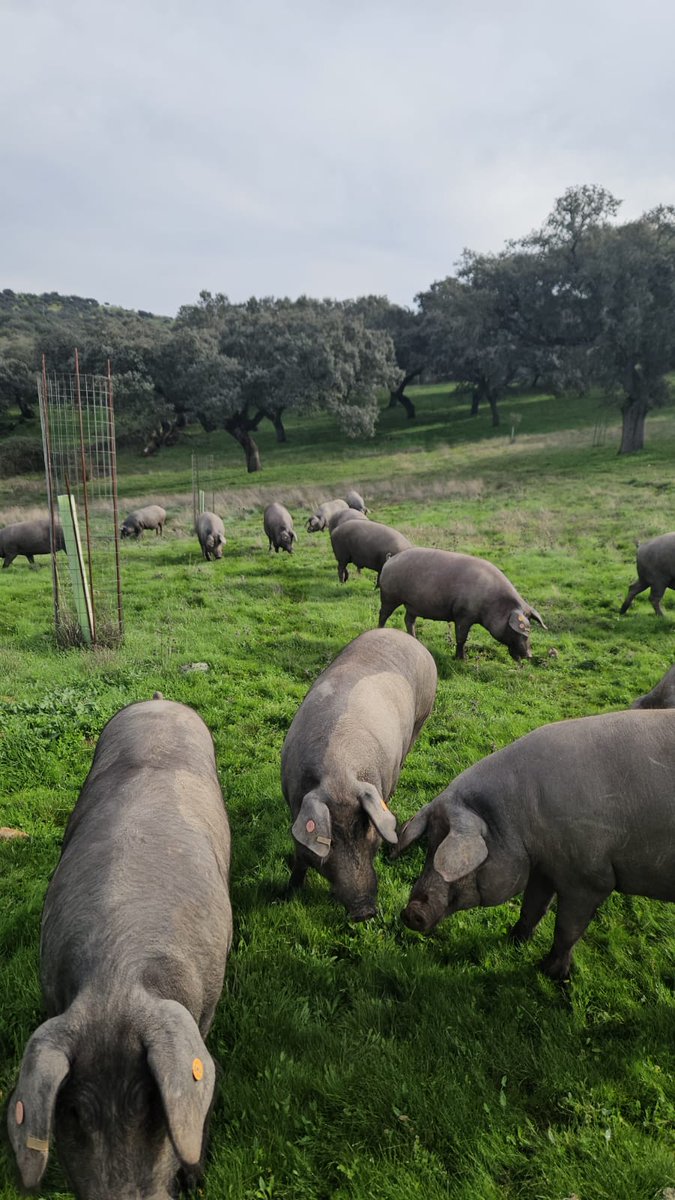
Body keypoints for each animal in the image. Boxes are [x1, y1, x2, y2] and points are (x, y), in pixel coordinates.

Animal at [281, 627, 437, 921]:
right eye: (331, 840)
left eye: (368, 831)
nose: (365, 911)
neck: (338, 774)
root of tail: (405, 636)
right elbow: (300, 859)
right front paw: (287, 892)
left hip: (422, 717)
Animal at [378, 547, 545, 661]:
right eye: (523, 631)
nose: (530, 655)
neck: (492, 602)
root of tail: (390, 560)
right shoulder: (463, 614)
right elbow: (461, 638)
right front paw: (462, 659)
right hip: (389, 596)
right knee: (383, 614)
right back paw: (380, 630)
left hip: (412, 604)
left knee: (408, 620)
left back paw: (415, 639)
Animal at [394, 709, 675, 981]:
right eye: (430, 845)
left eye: (455, 861)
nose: (410, 912)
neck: (519, 821)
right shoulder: (544, 867)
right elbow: (532, 907)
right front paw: (514, 940)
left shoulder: (589, 879)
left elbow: (566, 929)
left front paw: (550, 974)